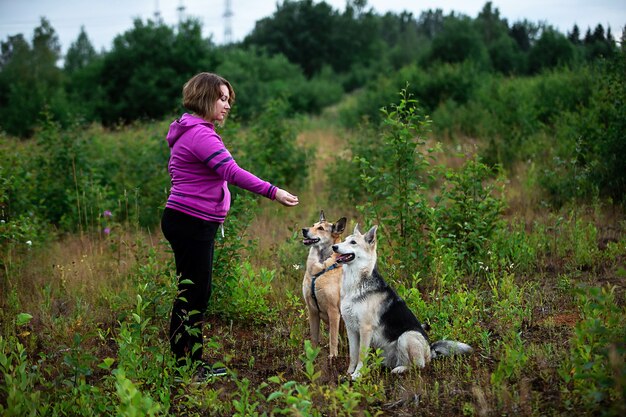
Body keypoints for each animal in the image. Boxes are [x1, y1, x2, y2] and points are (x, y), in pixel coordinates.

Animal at [302, 211, 346, 358]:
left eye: (320, 228)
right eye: (313, 225)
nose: (303, 230)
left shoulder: (333, 312)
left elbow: (332, 338)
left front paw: (333, 357)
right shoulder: (312, 310)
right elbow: (314, 337)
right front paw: (312, 355)